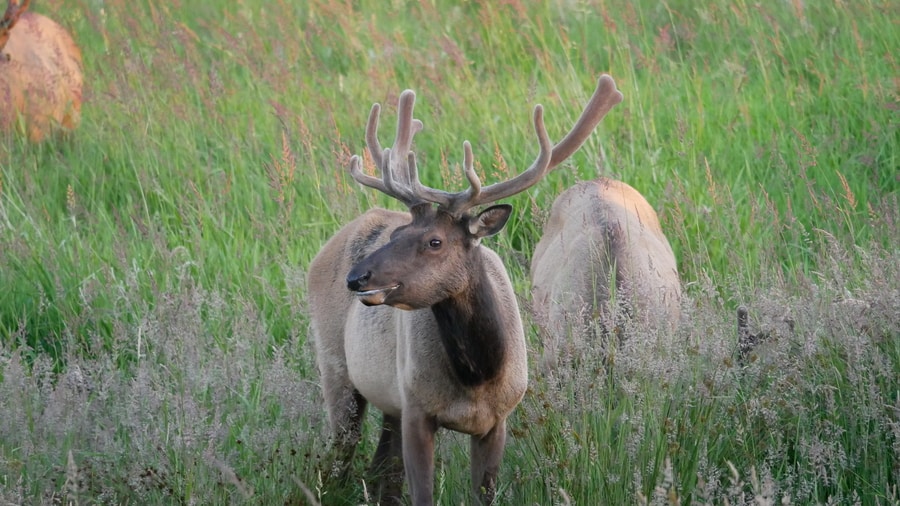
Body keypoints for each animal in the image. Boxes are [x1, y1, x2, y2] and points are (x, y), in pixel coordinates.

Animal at [306, 73, 624, 504]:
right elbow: (422, 495)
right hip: (335, 366)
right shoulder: (416, 408)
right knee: (340, 459)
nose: (357, 278)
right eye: (399, 233)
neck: (477, 378)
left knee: (380, 471)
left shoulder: (497, 420)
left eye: (435, 241)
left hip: (386, 401)